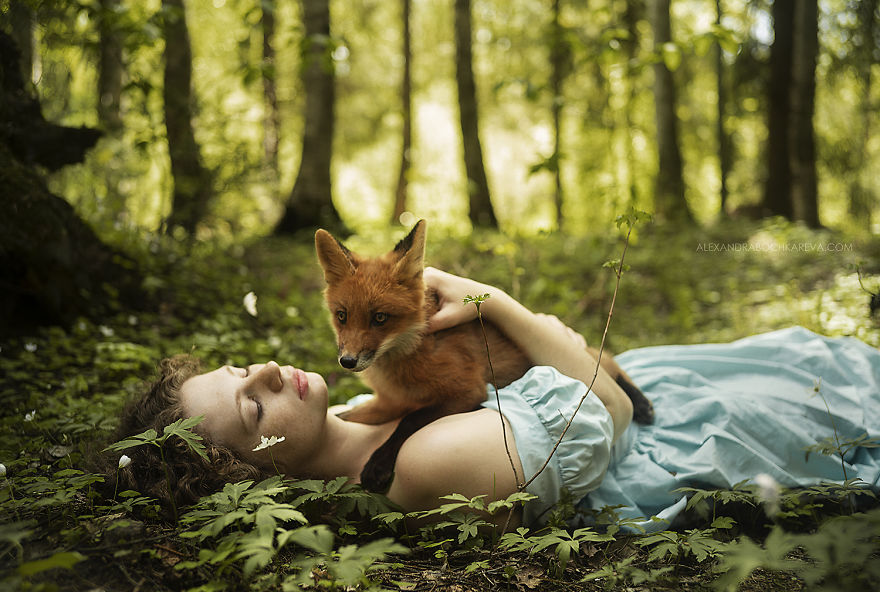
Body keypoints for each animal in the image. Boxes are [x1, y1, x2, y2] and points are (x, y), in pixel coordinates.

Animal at [315, 220, 654, 491]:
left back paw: (641, 403)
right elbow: (347, 416)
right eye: (342, 316)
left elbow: (410, 420)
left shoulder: (467, 391)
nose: (347, 361)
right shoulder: (388, 402)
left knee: (608, 363)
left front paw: (378, 463)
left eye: (380, 318)